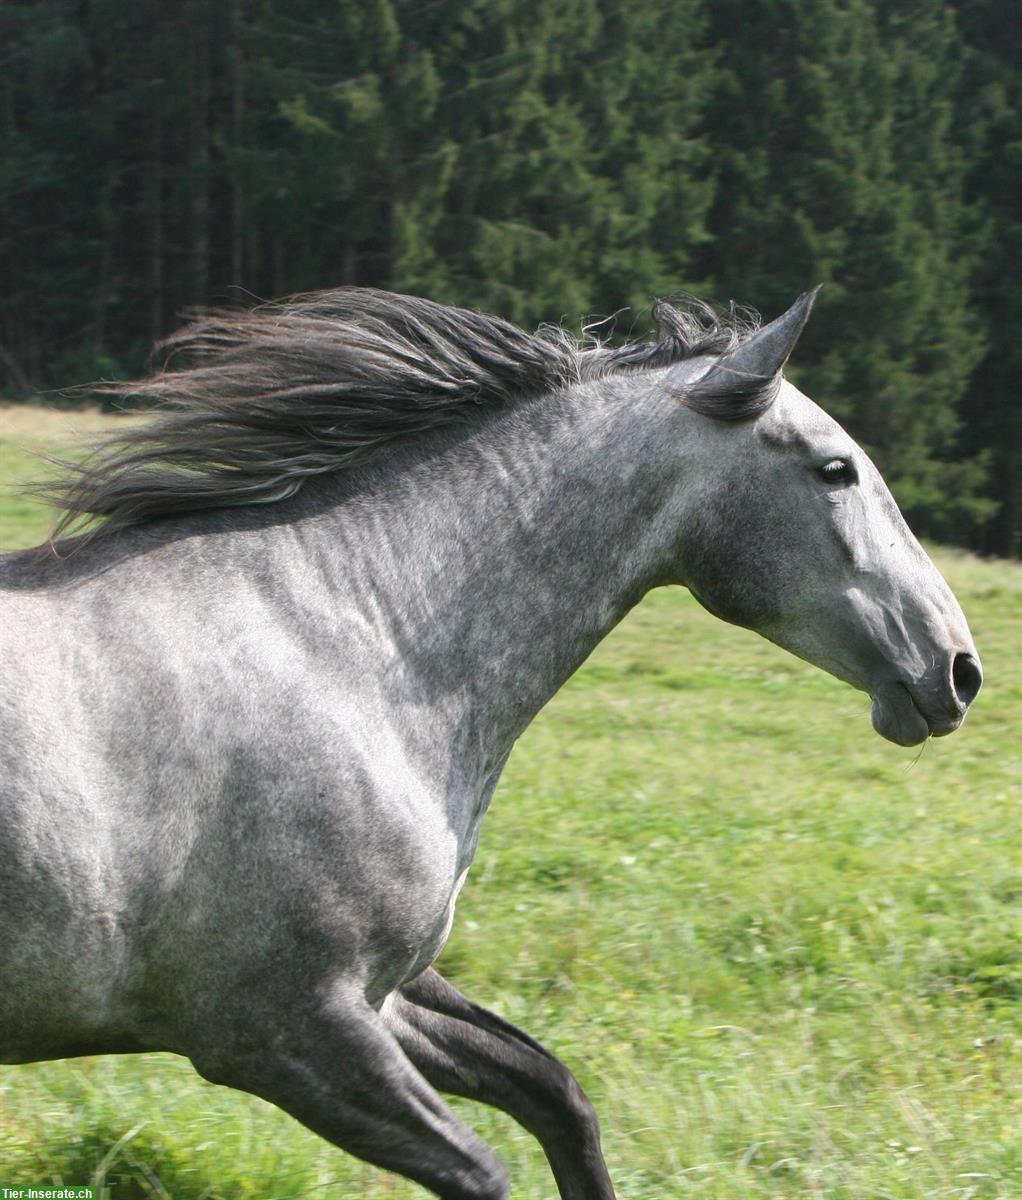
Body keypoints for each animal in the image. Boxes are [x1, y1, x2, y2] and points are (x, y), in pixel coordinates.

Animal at [0, 285, 983, 1195]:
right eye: (836, 469)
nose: (960, 670)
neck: (353, 647)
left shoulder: (384, 996)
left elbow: (558, 1094)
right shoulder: (286, 1031)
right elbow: (483, 1170)